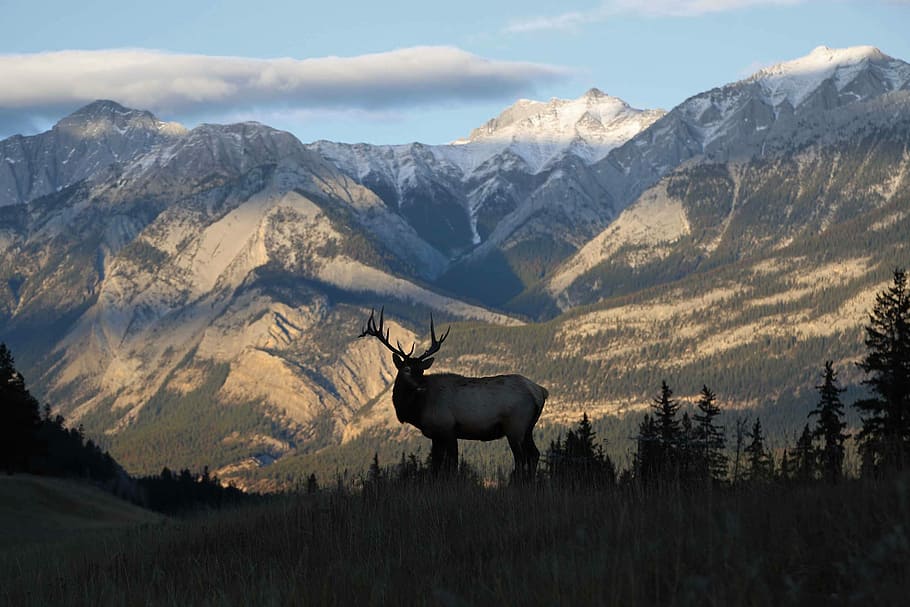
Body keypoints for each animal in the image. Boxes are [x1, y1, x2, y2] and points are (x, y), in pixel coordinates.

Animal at [358, 308, 548, 479]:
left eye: (421, 370)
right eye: (407, 369)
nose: (421, 386)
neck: (417, 411)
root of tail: (540, 392)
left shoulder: (448, 428)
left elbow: (452, 465)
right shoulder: (436, 435)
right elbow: (435, 466)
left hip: (515, 425)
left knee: (521, 458)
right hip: (528, 427)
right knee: (534, 454)